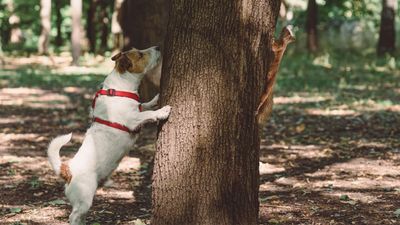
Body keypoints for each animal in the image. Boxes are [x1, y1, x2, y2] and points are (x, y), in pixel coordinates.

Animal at [47, 46, 170, 225]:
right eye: (140, 54)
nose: (158, 47)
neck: (119, 90)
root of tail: (68, 170)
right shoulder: (133, 119)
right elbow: (148, 114)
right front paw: (163, 110)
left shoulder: (138, 109)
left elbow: (145, 105)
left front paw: (156, 99)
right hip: (84, 198)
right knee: (74, 216)